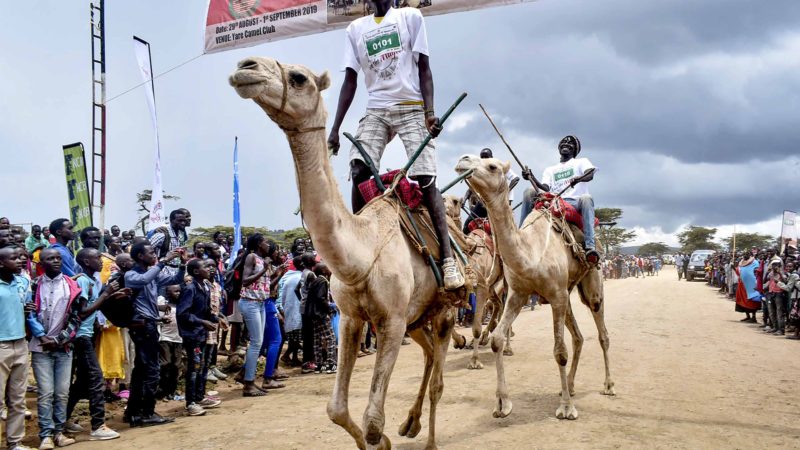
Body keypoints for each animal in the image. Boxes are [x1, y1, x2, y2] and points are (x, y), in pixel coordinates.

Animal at [228, 56, 460, 450]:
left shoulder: (391, 321)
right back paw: (409, 424)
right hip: (417, 318)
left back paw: (428, 438)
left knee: (440, 380)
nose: (246, 66)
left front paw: (381, 439)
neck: (361, 256)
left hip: (443, 309)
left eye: (298, 77)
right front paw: (383, 438)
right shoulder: (353, 318)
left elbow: (372, 420)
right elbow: (336, 409)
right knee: (429, 353)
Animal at [440, 195, 510, 368]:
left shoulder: (481, 287)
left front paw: (475, 361)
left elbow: (476, 327)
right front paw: (460, 341)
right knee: (497, 304)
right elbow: (450, 320)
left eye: (455, 201)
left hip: (504, 281)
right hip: (492, 286)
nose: (444, 206)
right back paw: (485, 338)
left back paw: (507, 348)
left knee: (504, 306)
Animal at [454, 155, 616, 422]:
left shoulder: (555, 295)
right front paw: (502, 404)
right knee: (579, 337)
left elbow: (560, 351)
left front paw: (567, 409)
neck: (530, 252)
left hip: (591, 285)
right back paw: (570, 386)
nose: (462, 160)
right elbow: (497, 339)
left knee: (602, 333)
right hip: (564, 295)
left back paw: (608, 385)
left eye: (492, 166)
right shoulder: (519, 294)